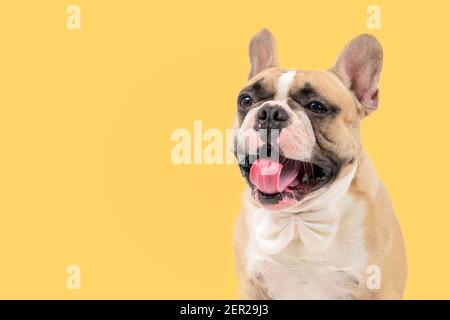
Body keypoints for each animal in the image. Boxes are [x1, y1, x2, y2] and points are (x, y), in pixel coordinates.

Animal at [232, 29, 408, 300]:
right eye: (246, 100)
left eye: (317, 107)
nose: (270, 113)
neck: (297, 220)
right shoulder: (250, 286)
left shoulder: (383, 288)